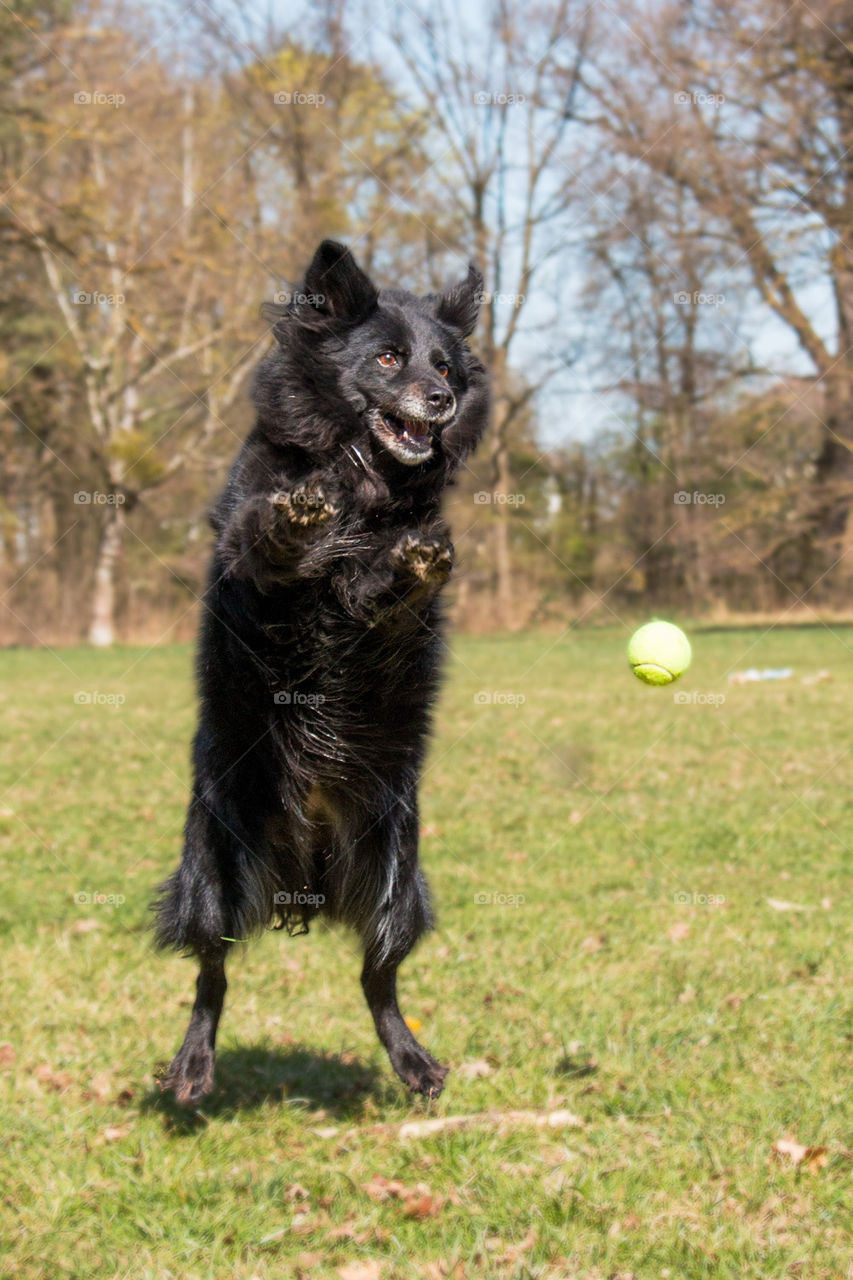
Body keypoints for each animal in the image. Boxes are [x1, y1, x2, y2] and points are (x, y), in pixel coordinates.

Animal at [153, 240, 484, 1100]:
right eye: (389, 358)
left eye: (445, 364)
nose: (440, 399)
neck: (362, 481)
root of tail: (304, 869)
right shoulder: (253, 578)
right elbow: (265, 540)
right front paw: (296, 520)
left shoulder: (386, 614)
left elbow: (385, 588)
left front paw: (410, 559)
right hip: (212, 872)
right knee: (210, 977)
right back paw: (192, 1069)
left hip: (399, 881)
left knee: (378, 979)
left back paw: (413, 1063)